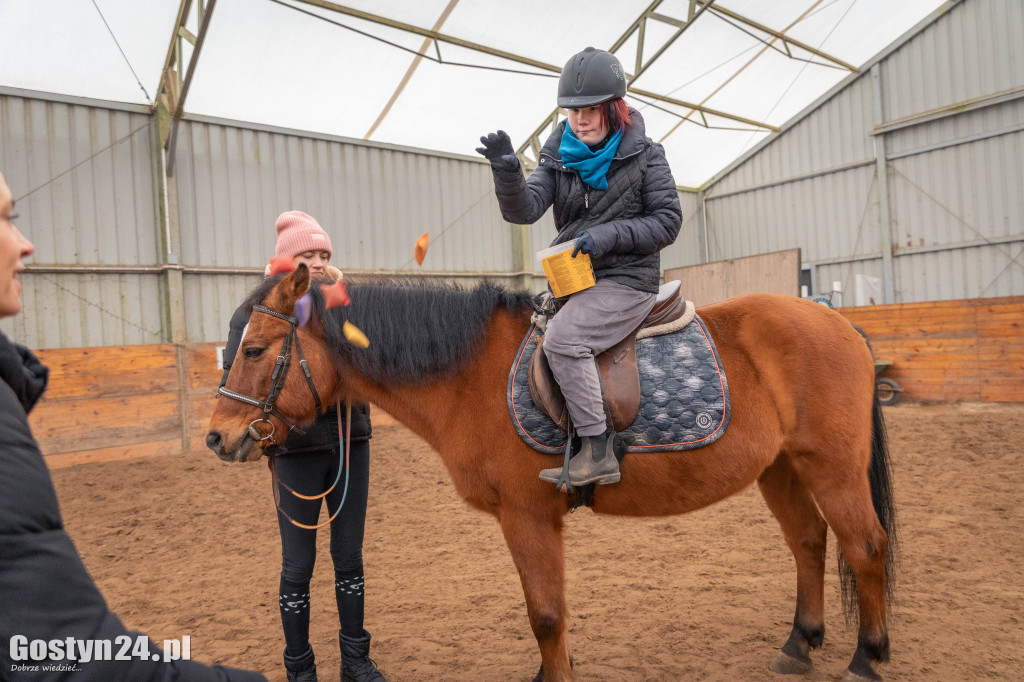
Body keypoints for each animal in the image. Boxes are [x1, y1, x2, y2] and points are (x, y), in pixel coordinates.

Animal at [205, 266, 897, 679]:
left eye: (254, 350)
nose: (218, 436)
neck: (470, 373)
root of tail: (840, 323)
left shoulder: (528, 515)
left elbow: (545, 614)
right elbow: (548, 614)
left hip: (833, 468)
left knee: (866, 546)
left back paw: (866, 657)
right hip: (780, 468)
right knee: (809, 541)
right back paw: (800, 643)